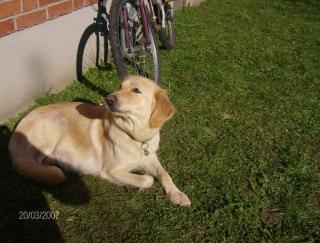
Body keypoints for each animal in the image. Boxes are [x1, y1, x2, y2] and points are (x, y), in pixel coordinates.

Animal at [8, 75, 191, 205]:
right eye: (120, 87)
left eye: (136, 90)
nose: (108, 99)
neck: (134, 135)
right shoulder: (111, 170)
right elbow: (147, 180)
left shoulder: (150, 158)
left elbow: (164, 174)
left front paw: (177, 194)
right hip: (52, 129)